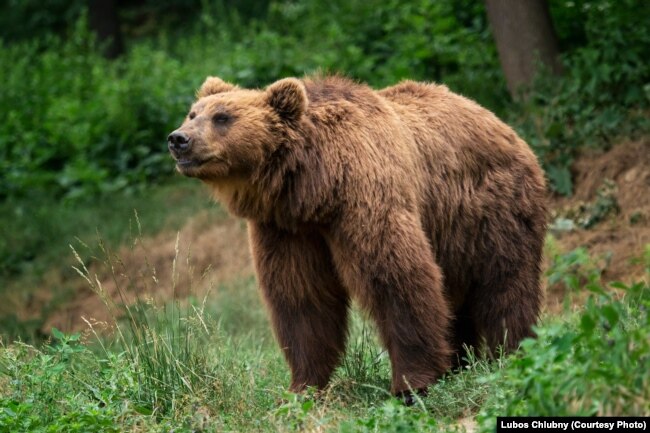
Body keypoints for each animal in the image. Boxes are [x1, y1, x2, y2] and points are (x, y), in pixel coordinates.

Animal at [167, 75, 548, 398]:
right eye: (193, 113)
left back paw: (513, 351)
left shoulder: (364, 197)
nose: (178, 139)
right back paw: (459, 361)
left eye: (223, 117)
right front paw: (302, 387)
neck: (316, 188)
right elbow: (300, 297)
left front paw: (412, 383)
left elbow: (395, 280)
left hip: (492, 210)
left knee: (505, 283)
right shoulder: (286, 229)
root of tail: (501, 123)